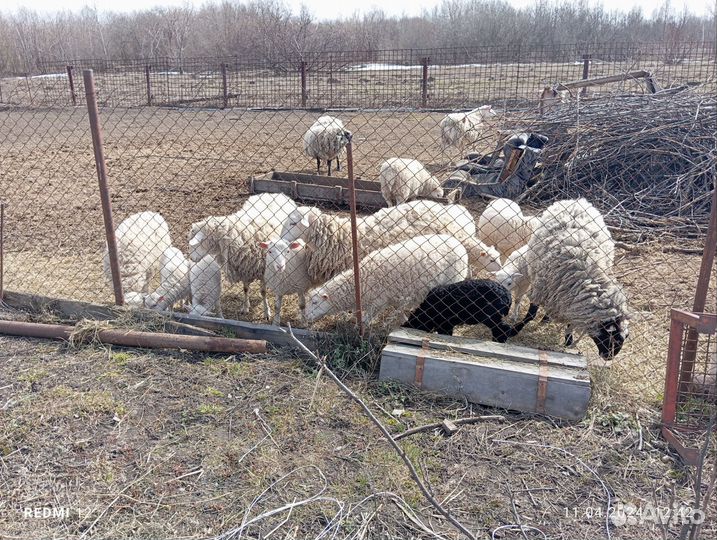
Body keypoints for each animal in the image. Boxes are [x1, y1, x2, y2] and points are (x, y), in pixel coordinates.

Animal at [304, 234, 469, 325]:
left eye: (315, 302)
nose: (305, 317)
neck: (361, 280)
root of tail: (459, 244)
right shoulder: (396, 297)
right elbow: (399, 311)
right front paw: (402, 320)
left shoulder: (378, 302)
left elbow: (367, 318)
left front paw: (360, 328)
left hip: (453, 281)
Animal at [403, 279, 539, 341]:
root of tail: (507, 296)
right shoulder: (447, 324)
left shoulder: (445, 323)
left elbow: (445, 333)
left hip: (490, 317)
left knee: (504, 328)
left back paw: (498, 341)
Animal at [523, 198, 629, 359]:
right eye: (611, 336)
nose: (609, 357)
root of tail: (579, 201)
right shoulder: (540, 287)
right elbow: (531, 314)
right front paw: (515, 329)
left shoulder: (571, 300)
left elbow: (570, 323)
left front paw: (568, 341)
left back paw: (546, 319)